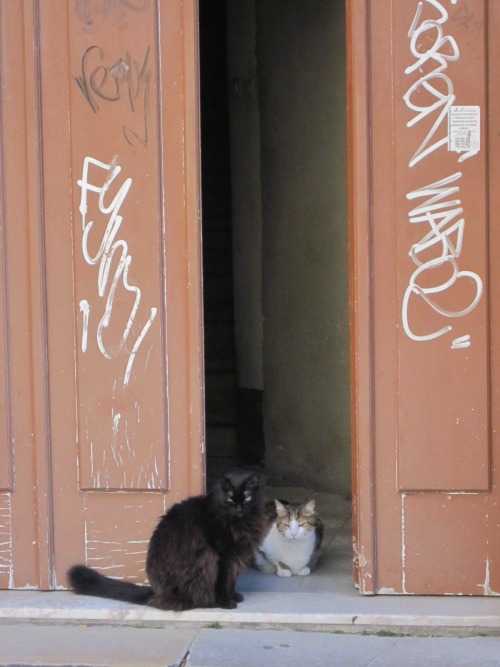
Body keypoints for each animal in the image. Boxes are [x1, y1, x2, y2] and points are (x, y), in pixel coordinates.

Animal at [69, 470, 270, 612]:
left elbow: (232, 581)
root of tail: (155, 591)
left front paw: (234, 595)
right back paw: (211, 603)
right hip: (206, 560)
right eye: (230, 498)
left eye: (247, 497)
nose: (239, 508)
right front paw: (226, 602)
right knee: (196, 600)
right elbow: (223, 583)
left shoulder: (236, 557)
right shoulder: (224, 556)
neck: (241, 523)